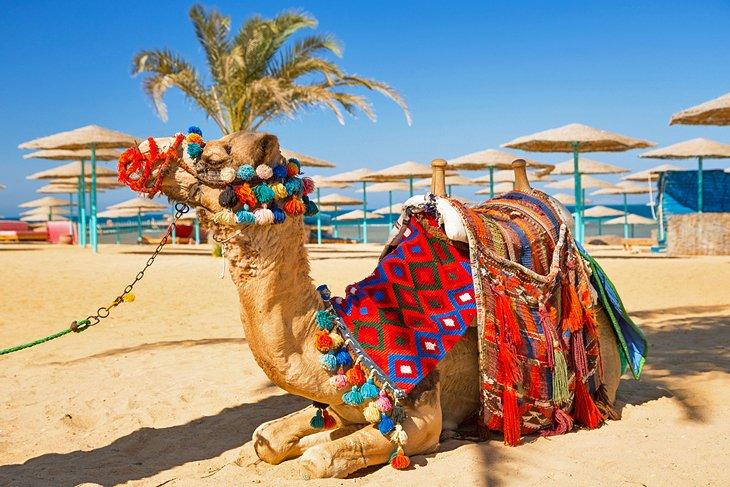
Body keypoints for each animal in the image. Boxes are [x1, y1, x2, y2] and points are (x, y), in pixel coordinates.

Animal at [144, 131, 620, 480]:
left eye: (211, 156)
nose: (154, 155)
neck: (346, 339)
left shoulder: (423, 414)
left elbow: (319, 460)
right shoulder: (338, 403)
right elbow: (267, 438)